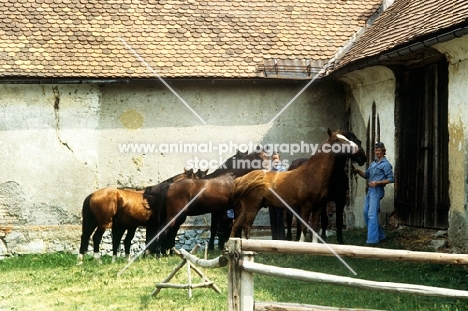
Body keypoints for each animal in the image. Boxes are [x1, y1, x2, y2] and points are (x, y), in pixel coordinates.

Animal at [230, 129, 366, 241]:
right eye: (338, 140)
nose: (357, 149)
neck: (312, 174)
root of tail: (242, 179)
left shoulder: (318, 206)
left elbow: (315, 227)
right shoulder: (306, 206)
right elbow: (304, 227)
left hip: (247, 208)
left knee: (236, 224)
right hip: (253, 207)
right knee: (246, 226)